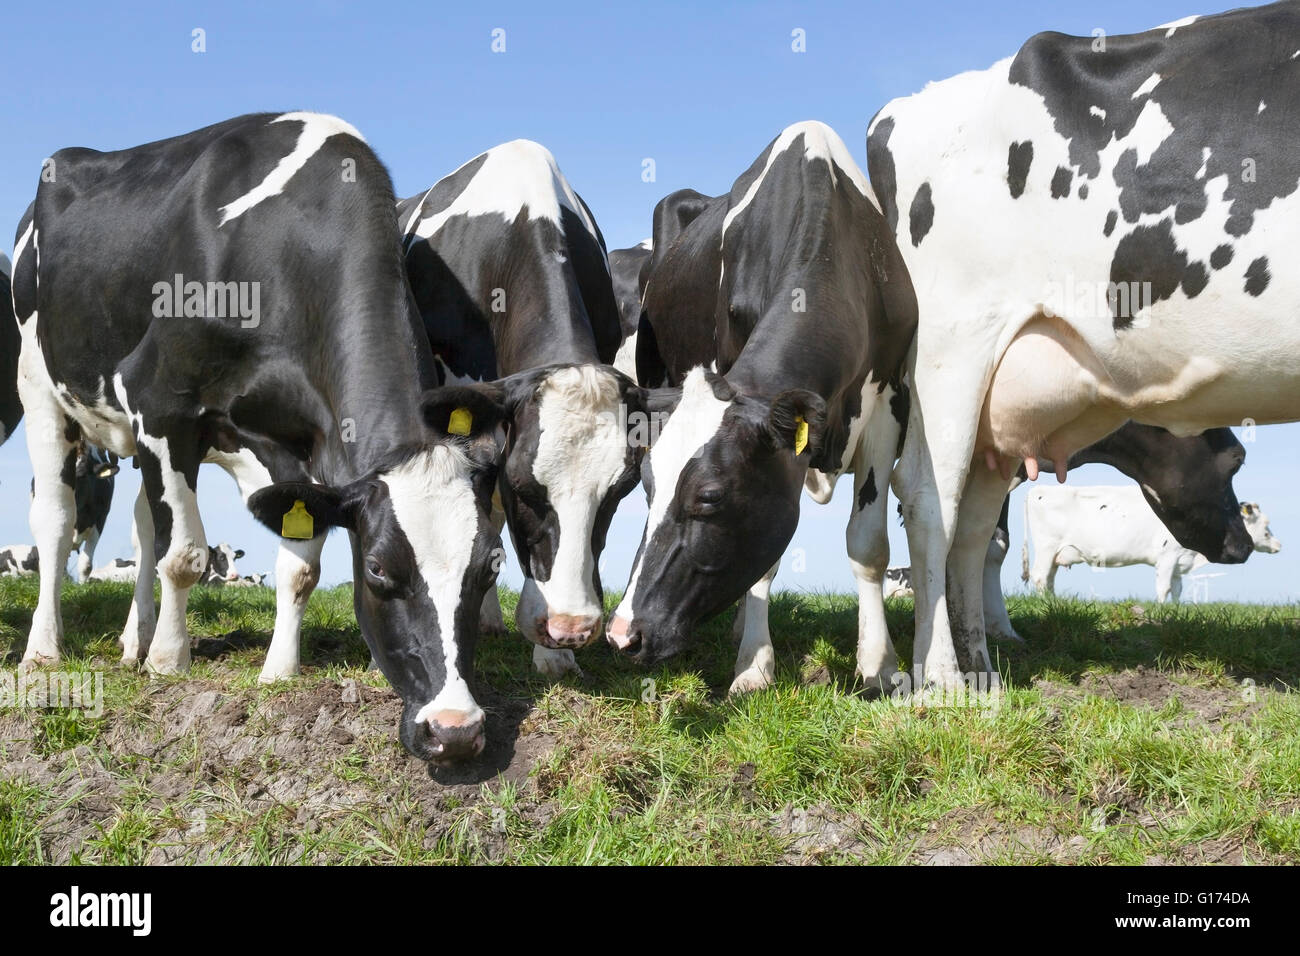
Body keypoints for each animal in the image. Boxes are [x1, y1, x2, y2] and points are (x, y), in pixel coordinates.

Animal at [13, 111, 509, 764]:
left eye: (490, 566)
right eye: (377, 569)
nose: (455, 730)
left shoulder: (300, 443)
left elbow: (299, 565)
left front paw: (278, 671)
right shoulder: (157, 400)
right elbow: (185, 555)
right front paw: (171, 661)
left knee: (144, 526)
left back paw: (132, 639)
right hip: (40, 390)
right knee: (58, 519)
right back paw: (46, 648)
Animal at [607, 121, 917, 693]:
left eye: (709, 497)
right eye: (648, 488)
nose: (622, 634)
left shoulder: (891, 400)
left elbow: (868, 543)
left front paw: (880, 666)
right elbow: (763, 568)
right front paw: (754, 665)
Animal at [1023, 487, 1280, 602]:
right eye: (1266, 525)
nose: (1279, 545)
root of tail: (1038, 489)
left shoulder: (1178, 561)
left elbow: (1177, 589)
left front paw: (1176, 611)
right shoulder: (1166, 557)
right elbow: (1163, 588)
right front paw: (1161, 610)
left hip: (1056, 552)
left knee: (1049, 578)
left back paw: (1053, 602)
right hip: (1046, 547)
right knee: (1039, 576)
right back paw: (1045, 603)